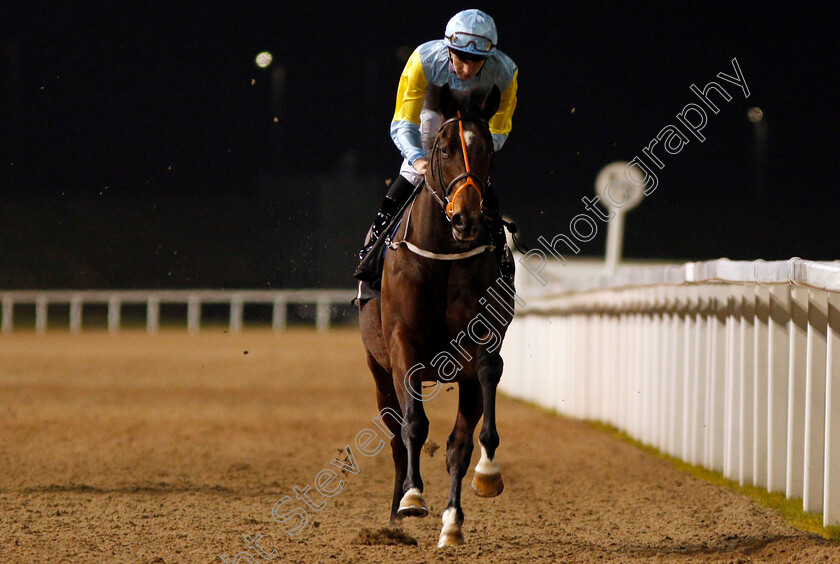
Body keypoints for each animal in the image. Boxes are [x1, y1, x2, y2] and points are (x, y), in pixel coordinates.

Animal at [358, 83, 516, 548]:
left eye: (487, 151)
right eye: (443, 148)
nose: (465, 218)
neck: (444, 256)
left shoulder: (482, 342)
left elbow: (485, 385)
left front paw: (488, 473)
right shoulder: (401, 344)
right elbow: (413, 424)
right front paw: (412, 498)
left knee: (456, 446)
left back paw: (451, 524)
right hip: (378, 372)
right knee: (396, 439)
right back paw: (396, 516)